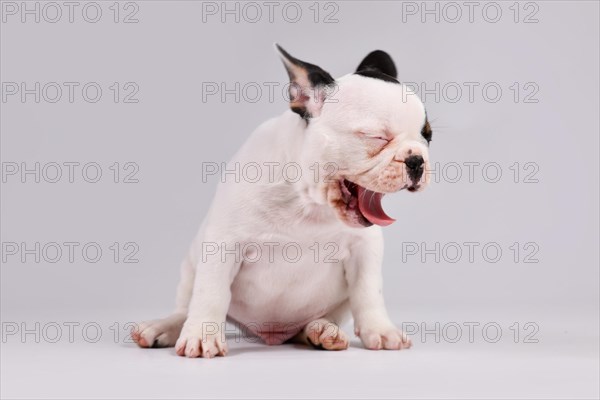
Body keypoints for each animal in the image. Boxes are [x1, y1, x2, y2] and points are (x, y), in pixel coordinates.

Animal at [132, 45, 432, 358]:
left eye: (429, 137)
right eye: (376, 137)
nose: (417, 160)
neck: (309, 203)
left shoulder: (364, 250)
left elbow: (369, 291)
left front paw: (381, 329)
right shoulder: (223, 244)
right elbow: (211, 293)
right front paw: (203, 335)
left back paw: (321, 331)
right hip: (189, 268)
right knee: (184, 308)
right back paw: (162, 327)